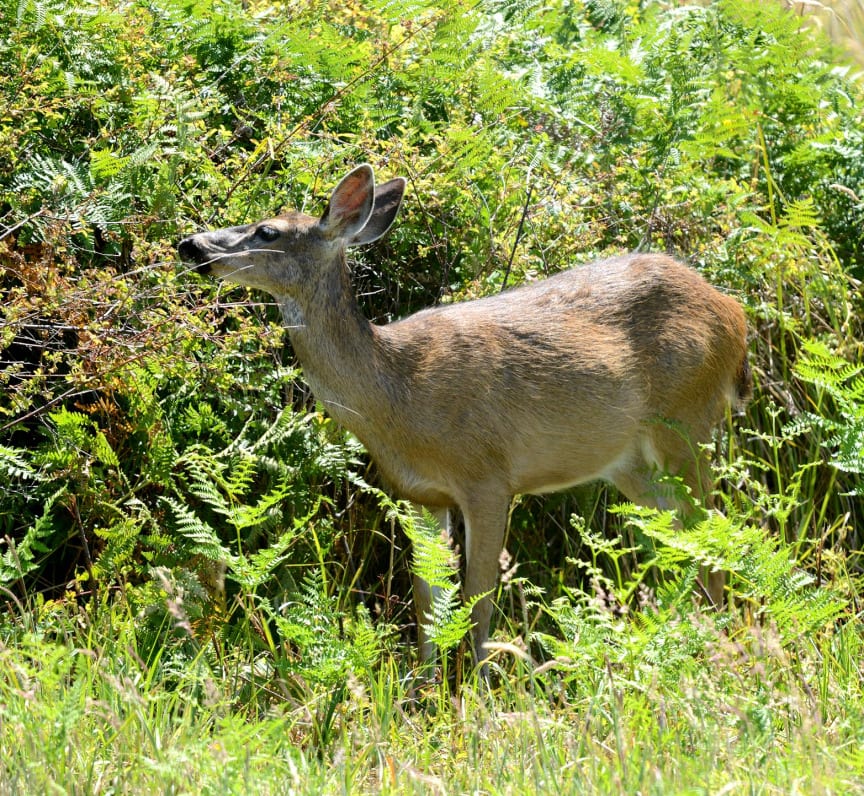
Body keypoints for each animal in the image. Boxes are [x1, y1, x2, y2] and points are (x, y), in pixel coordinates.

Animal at [179, 165, 752, 676]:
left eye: (267, 230)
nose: (191, 245)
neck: (400, 396)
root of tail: (735, 313)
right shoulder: (419, 495)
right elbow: (427, 604)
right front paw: (424, 689)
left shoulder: (489, 478)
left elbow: (477, 605)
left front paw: (476, 692)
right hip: (629, 462)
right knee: (683, 532)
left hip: (689, 420)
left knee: (715, 527)